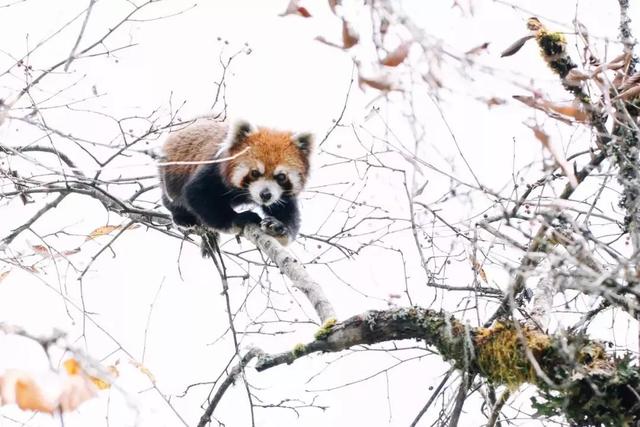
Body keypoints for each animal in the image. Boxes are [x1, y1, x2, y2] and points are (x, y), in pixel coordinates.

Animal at [158, 117, 312, 246]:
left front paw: (279, 227)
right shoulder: (214, 170)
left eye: (281, 177)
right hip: (172, 173)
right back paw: (182, 217)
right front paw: (238, 219)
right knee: (172, 198)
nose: (265, 195)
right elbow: (197, 194)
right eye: (254, 173)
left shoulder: (281, 194)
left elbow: (286, 209)